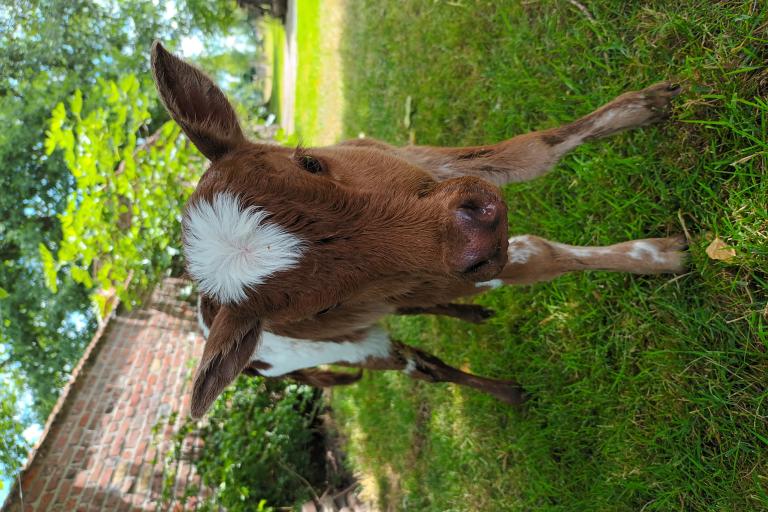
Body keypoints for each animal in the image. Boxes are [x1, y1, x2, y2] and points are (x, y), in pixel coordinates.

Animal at [150, 40, 684, 416]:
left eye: (310, 162)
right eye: (324, 305)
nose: (473, 234)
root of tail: (205, 313)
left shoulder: (412, 160)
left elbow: (535, 149)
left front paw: (646, 105)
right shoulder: (458, 265)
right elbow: (546, 254)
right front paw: (665, 255)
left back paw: (471, 317)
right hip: (354, 351)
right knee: (425, 366)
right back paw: (508, 391)